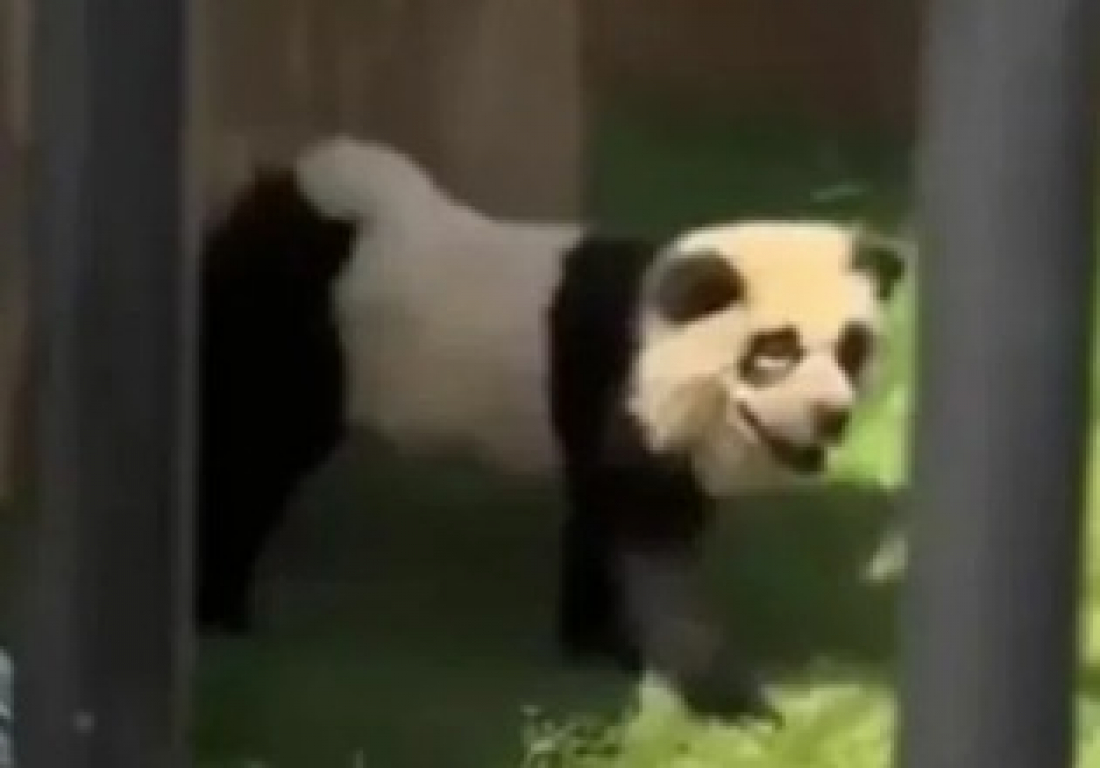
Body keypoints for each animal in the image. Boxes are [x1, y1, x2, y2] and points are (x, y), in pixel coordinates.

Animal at [196, 135, 907, 722]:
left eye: (851, 348)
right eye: (776, 351)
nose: (831, 416)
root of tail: (289, 194)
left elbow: (604, 524)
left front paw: (598, 649)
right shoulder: (622, 383)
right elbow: (651, 540)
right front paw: (724, 697)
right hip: (295, 334)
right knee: (249, 457)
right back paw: (222, 612)